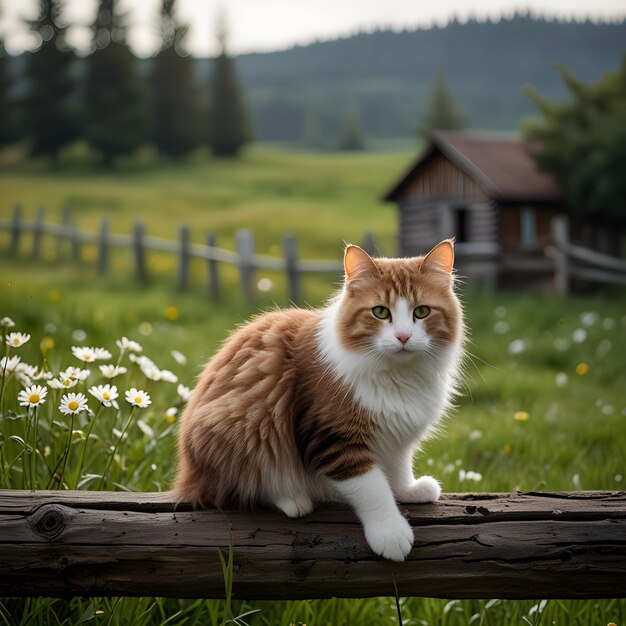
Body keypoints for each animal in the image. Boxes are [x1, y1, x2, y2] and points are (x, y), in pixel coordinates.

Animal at [172, 240, 464, 560]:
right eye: (380, 312)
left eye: (421, 312)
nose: (403, 337)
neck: (398, 376)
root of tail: (188, 475)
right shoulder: (334, 437)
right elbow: (373, 489)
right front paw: (390, 532)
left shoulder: (396, 434)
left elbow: (398, 467)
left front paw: (407, 490)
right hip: (244, 427)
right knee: (237, 487)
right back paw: (293, 499)